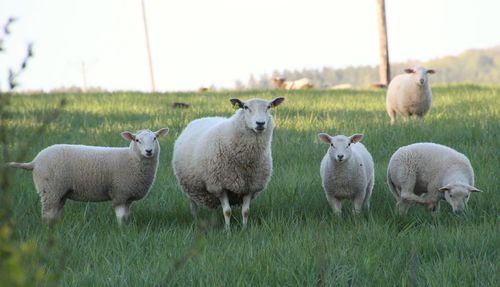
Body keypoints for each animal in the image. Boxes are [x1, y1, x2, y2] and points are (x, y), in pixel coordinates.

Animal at [6, 128, 170, 225]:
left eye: (155, 138)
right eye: (137, 140)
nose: (149, 151)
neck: (131, 159)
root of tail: (34, 162)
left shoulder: (127, 195)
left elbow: (126, 215)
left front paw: (127, 227)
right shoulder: (120, 193)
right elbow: (120, 216)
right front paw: (121, 230)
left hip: (59, 192)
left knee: (54, 211)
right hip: (50, 188)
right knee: (46, 213)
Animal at [173, 97, 286, 230]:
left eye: (268, 107)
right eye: (245, 107)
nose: (260, 123)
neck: (245, 162)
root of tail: (202, 118)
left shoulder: (250, 186)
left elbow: (245, 211)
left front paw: (244, 229)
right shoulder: (219, 186)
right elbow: (227, 211)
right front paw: (227, 230)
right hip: (190, 185)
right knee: (193, 205)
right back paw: (195, 221)